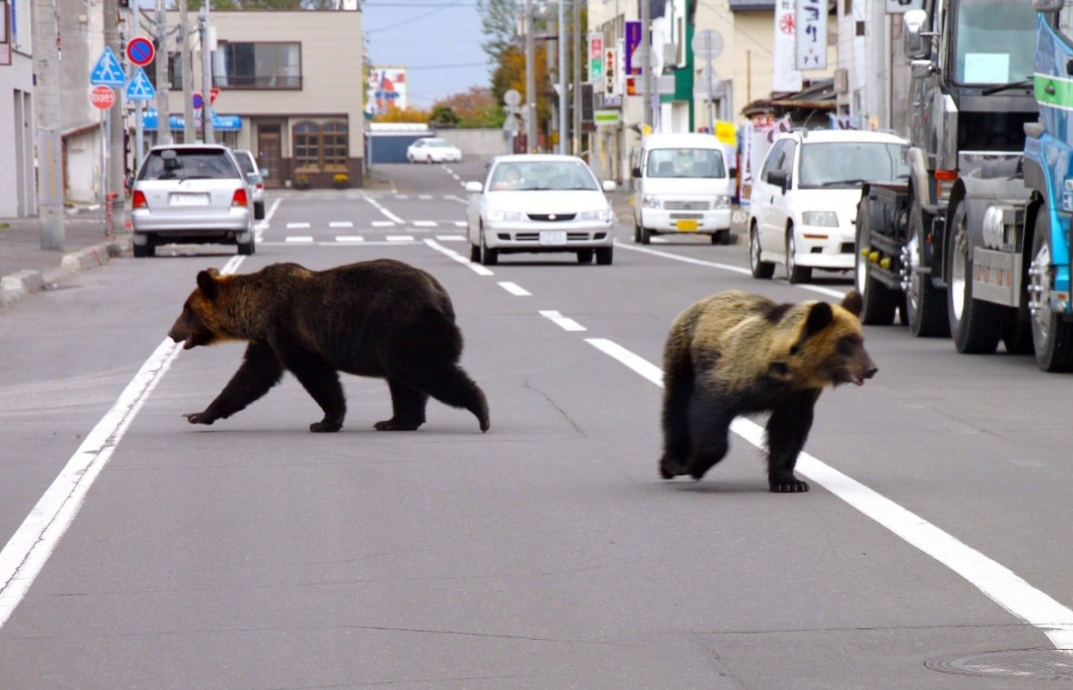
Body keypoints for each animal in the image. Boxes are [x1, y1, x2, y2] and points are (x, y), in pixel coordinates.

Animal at [167, 259, 490, 434]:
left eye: (187, 311)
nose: (172, 333)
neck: (255, 312)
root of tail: (440, 294)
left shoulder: (287, 328)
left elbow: (316, 374)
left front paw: (325, 421)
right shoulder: (267, 341)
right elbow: (250, 378)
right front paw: (199, 414)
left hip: (399, 325)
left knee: (422, 369)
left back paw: (481, 412)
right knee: (404, 380)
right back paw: (395, 421)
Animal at [658, 289, 876, 493]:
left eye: (861, 340)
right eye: (846, 341)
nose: (871, 369)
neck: (785, 371)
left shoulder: (797, 396)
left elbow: (788, 432)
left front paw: (789, 482)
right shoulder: (733, 376)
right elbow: (709, 413)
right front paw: (694, 466)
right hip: (685, 354)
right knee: (676, 404)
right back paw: (671, 462)